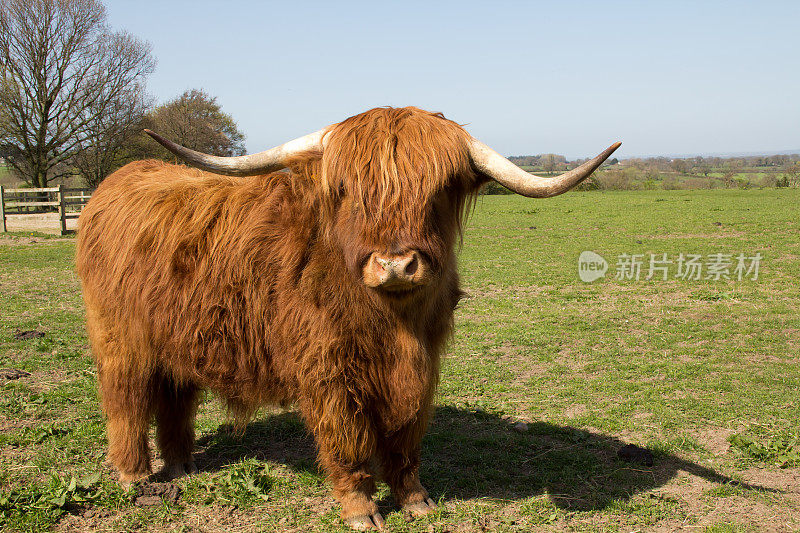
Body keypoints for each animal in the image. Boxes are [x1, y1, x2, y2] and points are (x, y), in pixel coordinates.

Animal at [76, 105, 620, 528]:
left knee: (174, 399)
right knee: (125, 399)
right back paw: (134, 476)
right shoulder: (329, 372)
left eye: (439, 189)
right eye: (350, 191)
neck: (394, 325)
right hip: (119, 338)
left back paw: (182, 468)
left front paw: (415, 500)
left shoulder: (422, 368)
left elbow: (406, 439)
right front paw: (361, 509)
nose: (396, 264)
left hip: (177, 338)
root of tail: (121, 179)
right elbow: (347, 440)